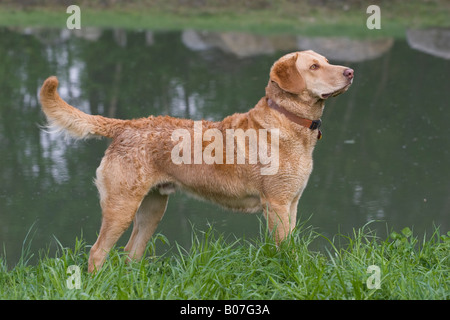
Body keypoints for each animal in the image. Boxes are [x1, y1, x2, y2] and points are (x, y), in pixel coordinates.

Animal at [38, 50, 354, 272]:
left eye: (326, 61)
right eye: (314, 67)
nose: (351, 71)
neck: (288, 122)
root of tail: (126, 125)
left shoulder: (292, 202)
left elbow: (292, 243)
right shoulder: (276, 204)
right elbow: (284, 248)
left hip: (152, 208)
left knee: (131, 254)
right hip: (121, 205)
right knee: (97, 252)